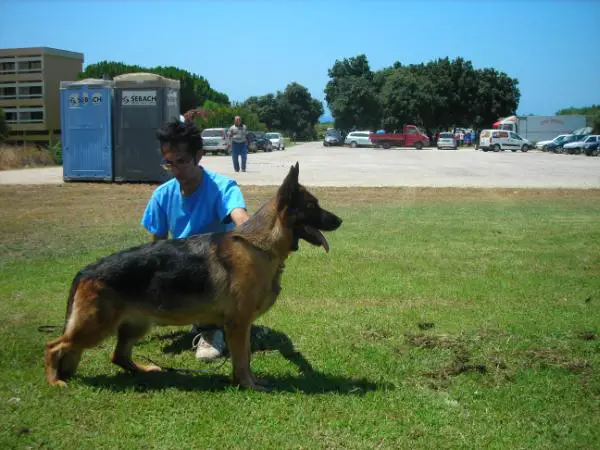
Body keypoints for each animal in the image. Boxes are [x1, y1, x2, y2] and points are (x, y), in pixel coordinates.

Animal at [44, 163, 342, 388]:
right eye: (312, 206)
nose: (339, 221)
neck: (260, 245)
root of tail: (86, 271)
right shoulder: (238, 324)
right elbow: (242, 360)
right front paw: (248, 384)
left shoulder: (241, 325)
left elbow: (245, 357)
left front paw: (249, 381)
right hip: (96, 327)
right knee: (53, 346)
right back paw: (55, 381)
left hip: (135, 325)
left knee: (117, 356)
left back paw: (144, 370)